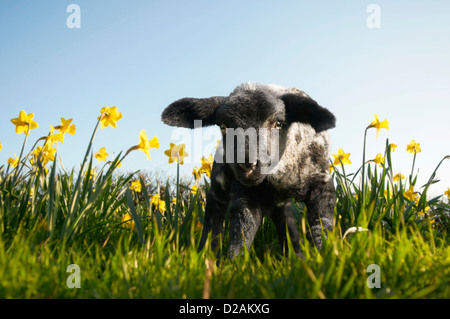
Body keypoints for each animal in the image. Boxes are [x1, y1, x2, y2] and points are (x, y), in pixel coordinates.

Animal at [160, 83, 336, 260]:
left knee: (286, 223)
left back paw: (296, 256)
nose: (247, 163)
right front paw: (234, 263)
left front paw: (323, 256)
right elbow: (242, 232)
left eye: (278, 124)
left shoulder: (322, 186)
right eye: (223, 127)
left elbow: (321, 226)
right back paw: (206, 254)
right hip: (219, 184)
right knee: (214, 216)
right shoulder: (246, 194)